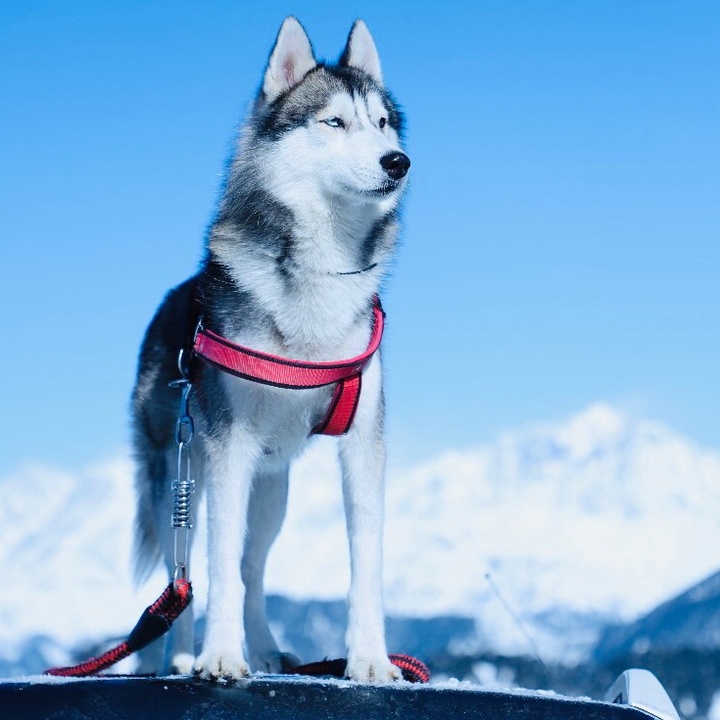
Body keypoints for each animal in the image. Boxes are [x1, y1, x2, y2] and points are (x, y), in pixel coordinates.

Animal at [131, 15, 410, 680]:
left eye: (381, 122)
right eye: (334, 123)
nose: (398, 161)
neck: (320, 274)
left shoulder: (365, 443)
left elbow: (364, 565)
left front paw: (368, 660)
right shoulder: (227, 446)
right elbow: (216, 568)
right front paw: (220, 657)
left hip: (271, 490)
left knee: (251, 568)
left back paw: (263, 648)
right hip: (181, 474)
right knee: (185, 570)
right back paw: (181, 656)